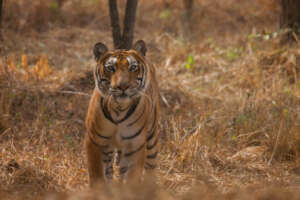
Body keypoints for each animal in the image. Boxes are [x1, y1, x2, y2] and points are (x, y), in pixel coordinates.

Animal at [85, 39, 159, 187]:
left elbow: (131, 177)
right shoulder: (94, 141)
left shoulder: (135, 145)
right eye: (110, 68)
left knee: (151, 166)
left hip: (152, 138)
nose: (123, 86)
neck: (119, 109)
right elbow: (97, 175)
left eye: (133, 67)